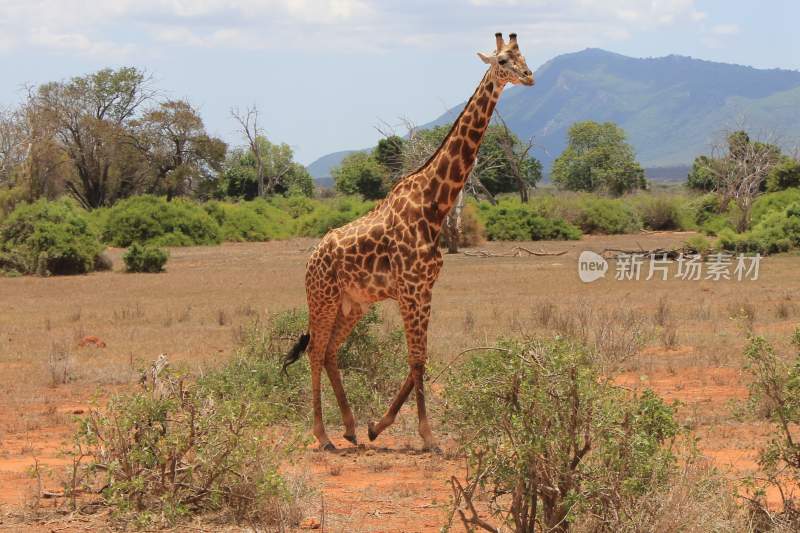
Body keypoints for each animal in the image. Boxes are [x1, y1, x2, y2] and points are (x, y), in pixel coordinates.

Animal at [284, 32, 536, 448]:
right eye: (502, 60)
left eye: (525, 56)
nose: (529, 77)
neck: (434, 203)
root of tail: (311, 258)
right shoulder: (410, 288)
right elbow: (417, 359)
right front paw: (427, 435)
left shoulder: (424, 288)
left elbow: (420, 358)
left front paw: (377, 425)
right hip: (322, 297)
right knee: (316, 351)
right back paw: (323, 435)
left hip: (353, 304)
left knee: (332, 351)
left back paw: (350, 427)